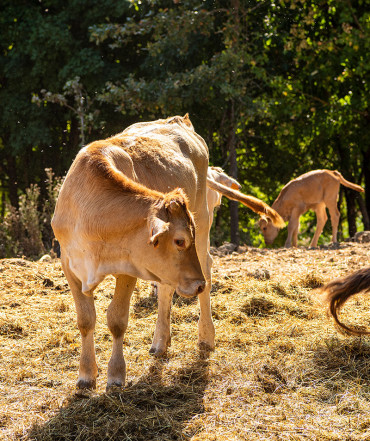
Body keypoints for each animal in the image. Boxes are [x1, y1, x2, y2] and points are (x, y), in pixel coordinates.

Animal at [52, 114, 214, 388]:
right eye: (179, 241)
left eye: (186, 239)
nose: (197, 284)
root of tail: (178, 121)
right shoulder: (69, 265)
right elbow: (85, 320)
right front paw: (86, 375)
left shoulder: (127, 268)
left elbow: (117, 320)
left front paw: (116, 375)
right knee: (166, 289)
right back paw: (160, 342)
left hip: (203, 224)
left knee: (207, 271)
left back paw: (206, 337)